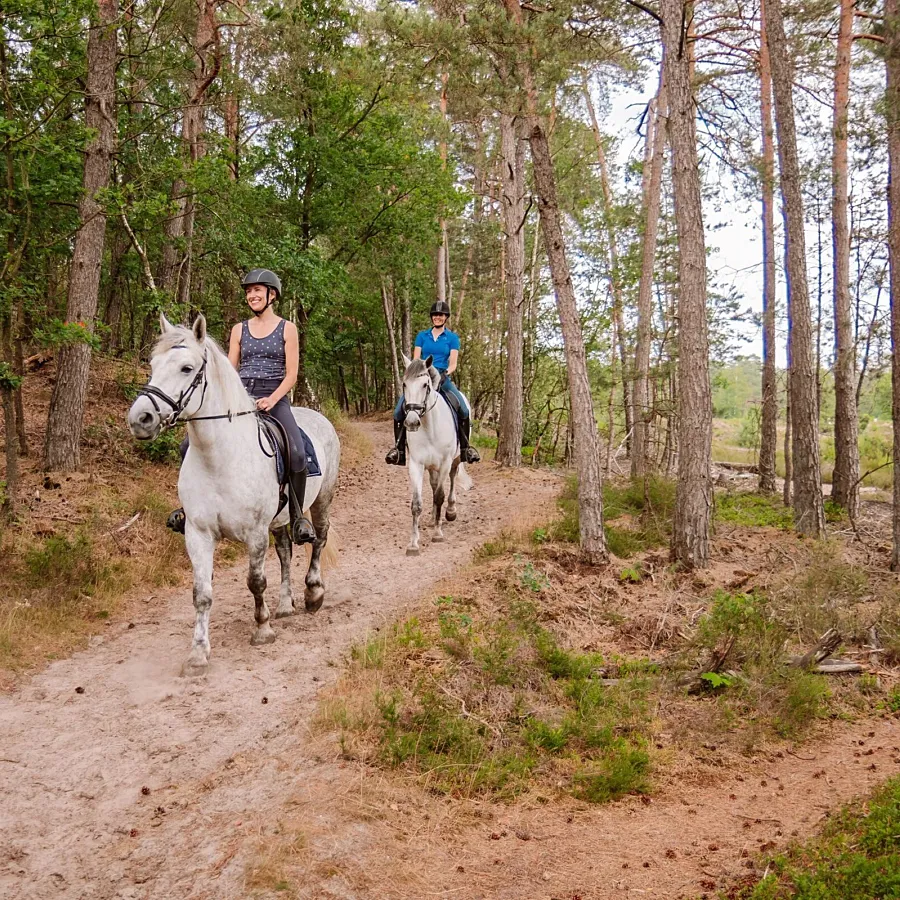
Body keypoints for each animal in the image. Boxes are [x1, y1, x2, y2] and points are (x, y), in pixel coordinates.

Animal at [131, 316, 344, 676]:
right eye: (153, 365)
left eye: (187, 368)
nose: (140, 419)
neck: (219, 457)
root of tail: (316, 416)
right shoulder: (198, 533)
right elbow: (201, 593)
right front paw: (198, 654)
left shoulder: (255, 533)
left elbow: (255, 581)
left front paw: (262, 630)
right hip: (280, 519)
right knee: (285, 551)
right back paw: (285, 605)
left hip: (321, 500)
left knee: (318, 539)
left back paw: (313, 593)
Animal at [400, 354, 472, 556]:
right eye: (404, 384)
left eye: (425, 385)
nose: (411, 422)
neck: (428, 426)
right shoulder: (416, 464)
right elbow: (416, 504)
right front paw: (413, 544)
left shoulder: (446, 462)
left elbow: (440, 495)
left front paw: (438, 534)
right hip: (431, 466)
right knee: (433, 484)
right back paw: (433, 518)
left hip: (455, 460)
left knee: (452, 479)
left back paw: (450, 511)